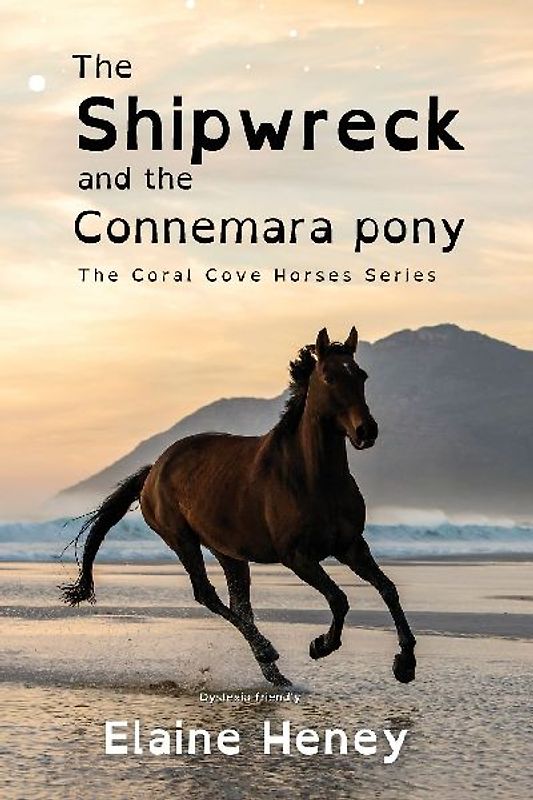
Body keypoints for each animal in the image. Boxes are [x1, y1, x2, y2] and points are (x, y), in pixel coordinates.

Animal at [61, 326, 416, 687]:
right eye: (329, 377)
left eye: (361, 375)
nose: (366, 430)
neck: (312, 477)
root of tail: (154, 469)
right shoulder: (297, 556)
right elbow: (339, 598)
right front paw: (321, 645)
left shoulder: (350, 546)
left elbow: (388, 589)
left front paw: (405, 664)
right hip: (182, 540)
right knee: (208, 595)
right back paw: (268, 652)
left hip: (228, 551)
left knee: (238, 602)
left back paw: (275, 673)